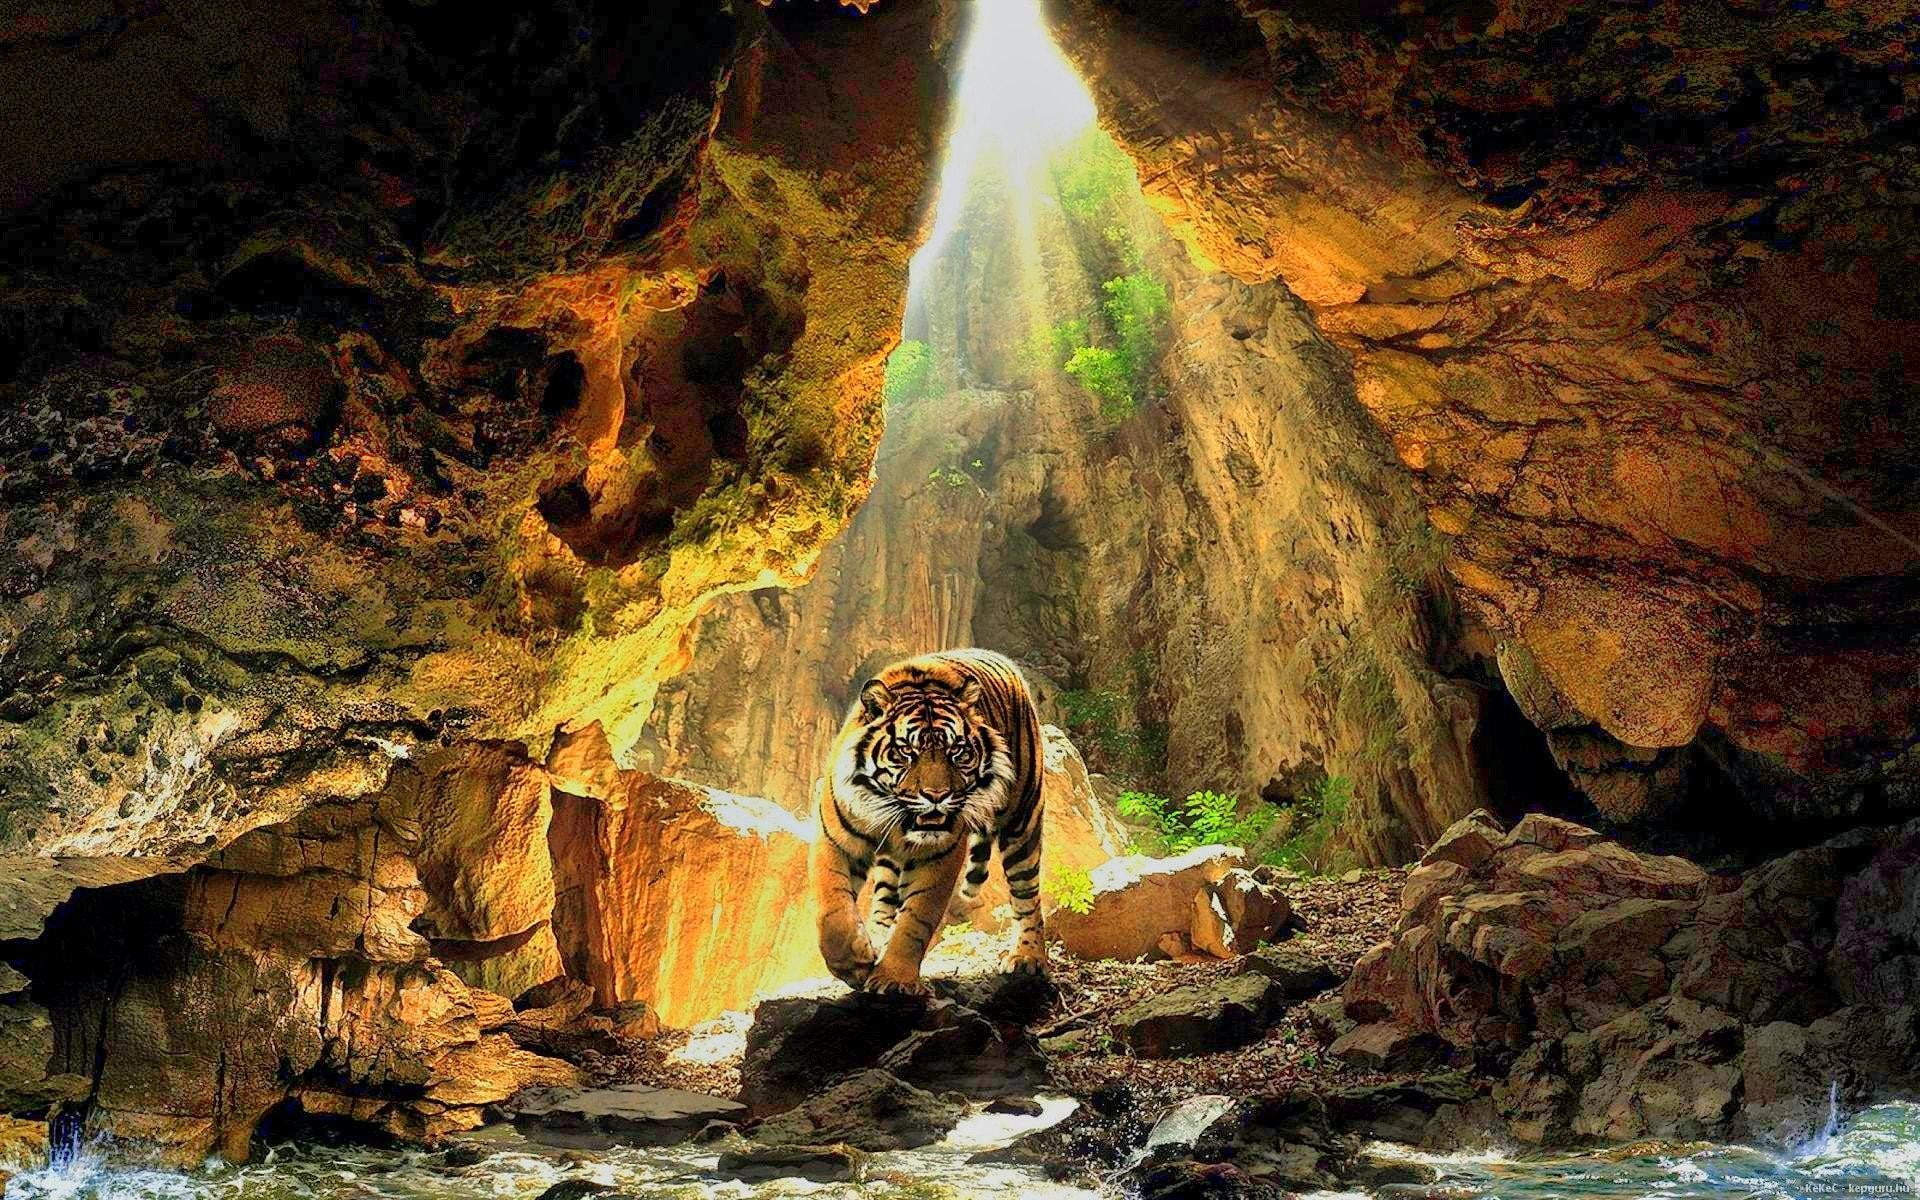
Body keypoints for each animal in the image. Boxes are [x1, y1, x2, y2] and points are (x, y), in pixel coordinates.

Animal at [811, 648, 1047, 995]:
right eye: (905, 752)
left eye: (957, 751)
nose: (937, 796)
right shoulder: (835, 840)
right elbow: (832, 909)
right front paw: (854, 963)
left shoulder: (939, 855)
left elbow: (916, 919)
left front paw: (894, 978)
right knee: (885, 898)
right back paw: (877, 936)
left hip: (1023, 821)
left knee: (1027, 895)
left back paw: (1028, 957)